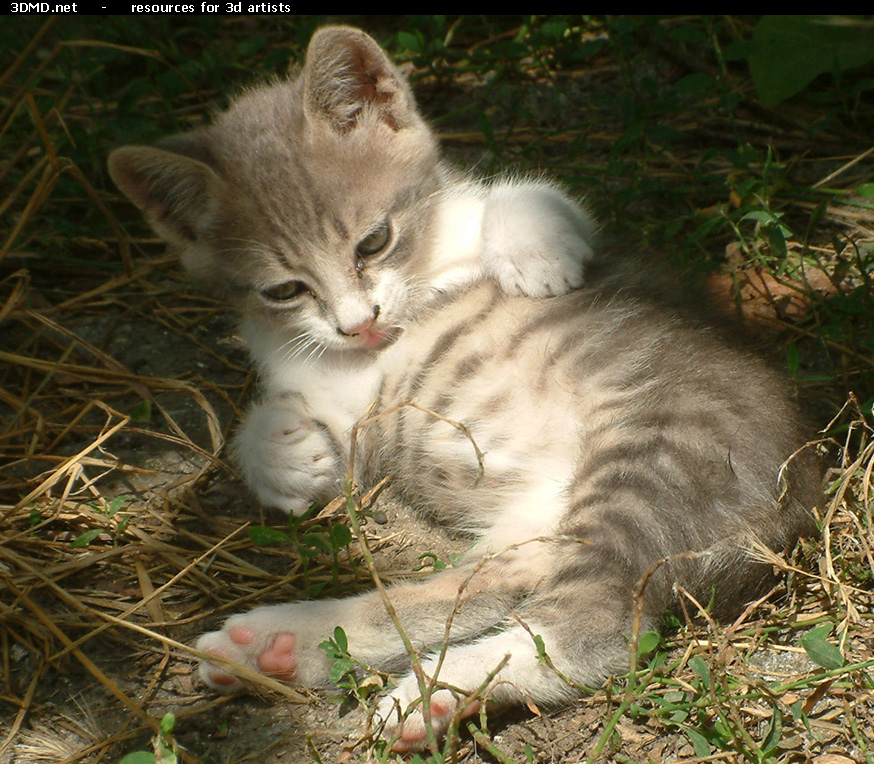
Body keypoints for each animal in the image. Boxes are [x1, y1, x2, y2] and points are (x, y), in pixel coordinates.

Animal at [110, 25, 816, 752]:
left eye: (373, 242)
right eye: (284, 289)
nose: (359, 323)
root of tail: (801, 494)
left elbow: (530, 200)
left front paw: (533, 253)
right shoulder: (338, 403)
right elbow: (291, 423)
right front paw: (279, 455)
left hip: (649, 464)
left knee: (589, 630)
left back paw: (431, 693)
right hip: (540, 524)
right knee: (485, 589)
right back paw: (283, 644)